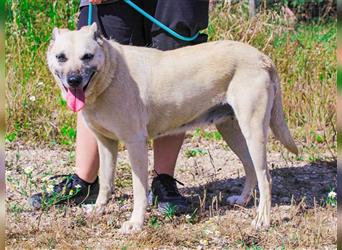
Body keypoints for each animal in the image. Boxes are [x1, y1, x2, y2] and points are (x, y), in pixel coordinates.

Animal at [46, 23, 298, 234]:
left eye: (87, 56)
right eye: (61, 57)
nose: (73, 80)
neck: (111, 73)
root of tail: (261, 56)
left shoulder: (135, 144)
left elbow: (139, 190)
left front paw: (135, 223)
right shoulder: (106, 143)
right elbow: (106, 182)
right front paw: (98, 209)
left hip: (253, 132)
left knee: (266, 178)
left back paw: (262, 220)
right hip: (232, 131)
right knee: (251, 168)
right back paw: (242, 201)